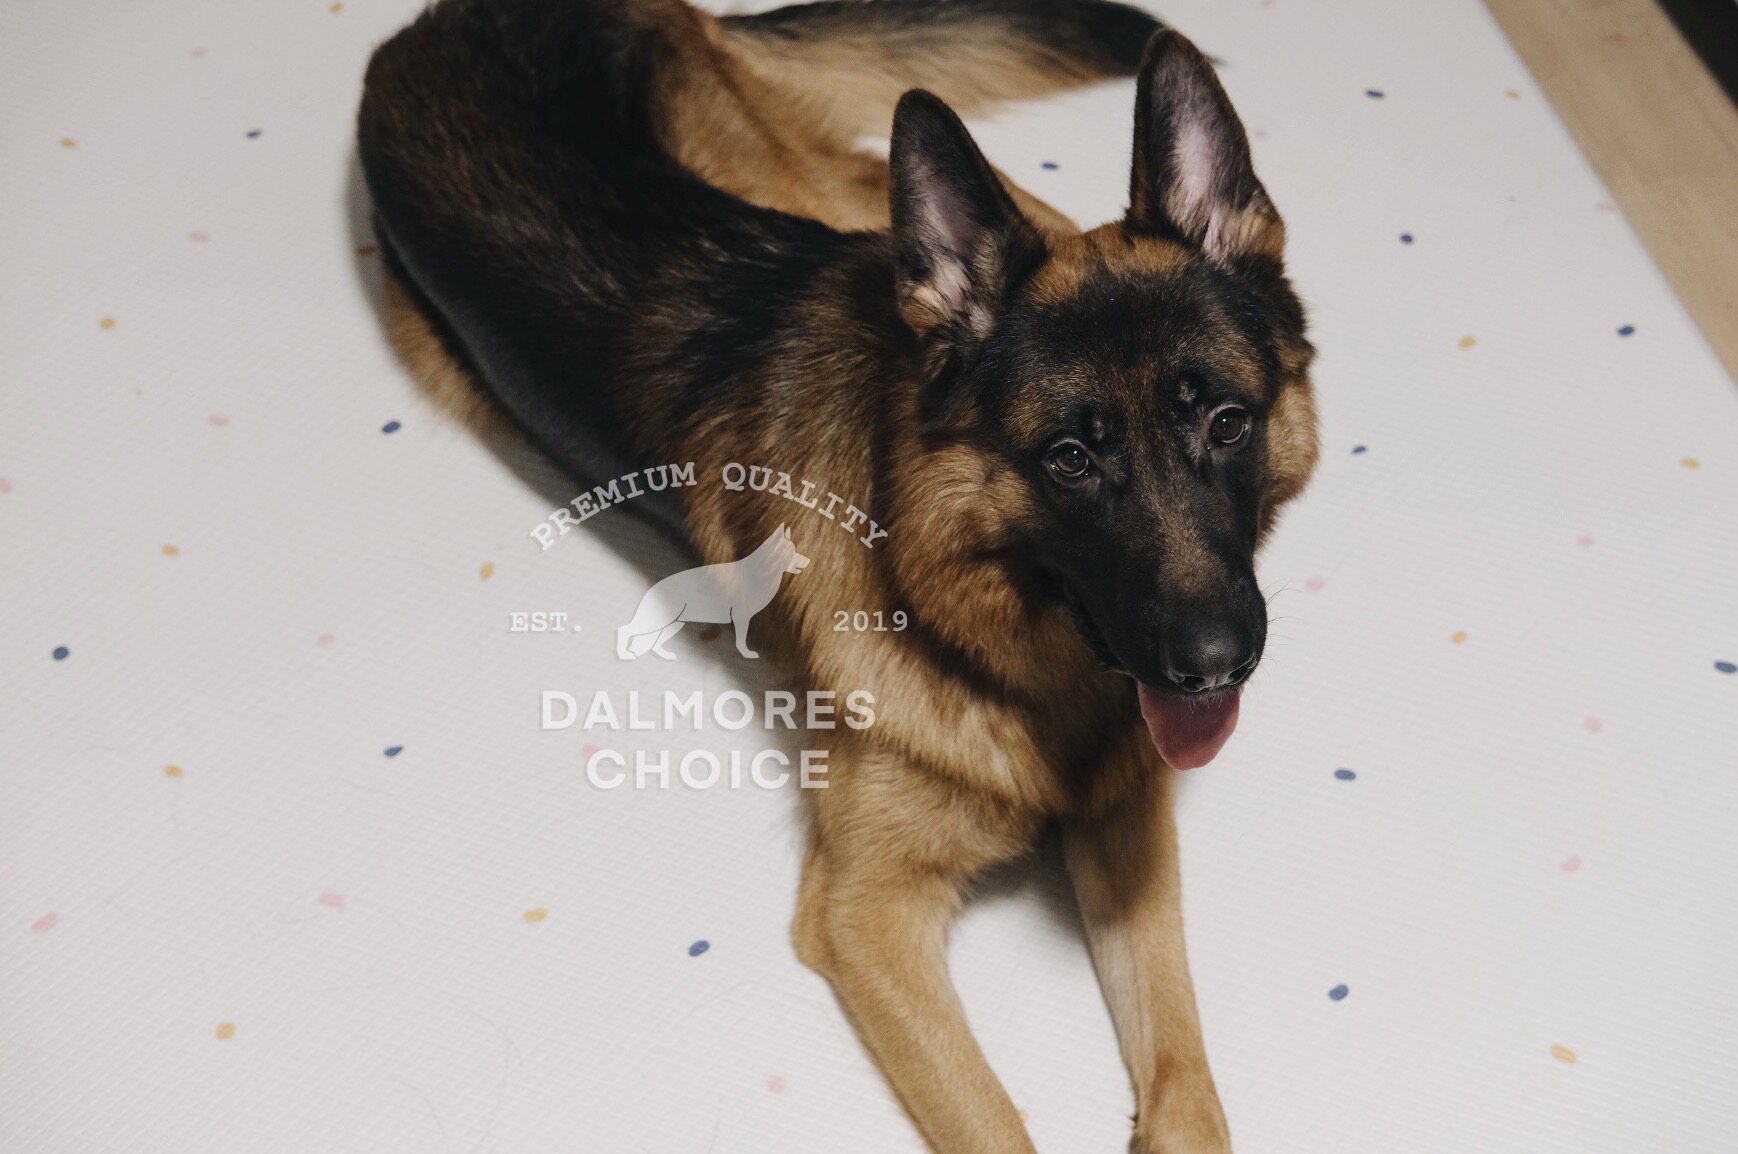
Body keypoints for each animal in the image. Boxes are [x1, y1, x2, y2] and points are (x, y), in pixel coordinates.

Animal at [618, 524, 810, 659]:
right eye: (792, 552)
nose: (808, 561)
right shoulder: (741, 617)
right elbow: (741, 641)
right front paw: (747, 653)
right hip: (658, 621)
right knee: (625, 630)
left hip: (674, 624)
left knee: (653, 641)